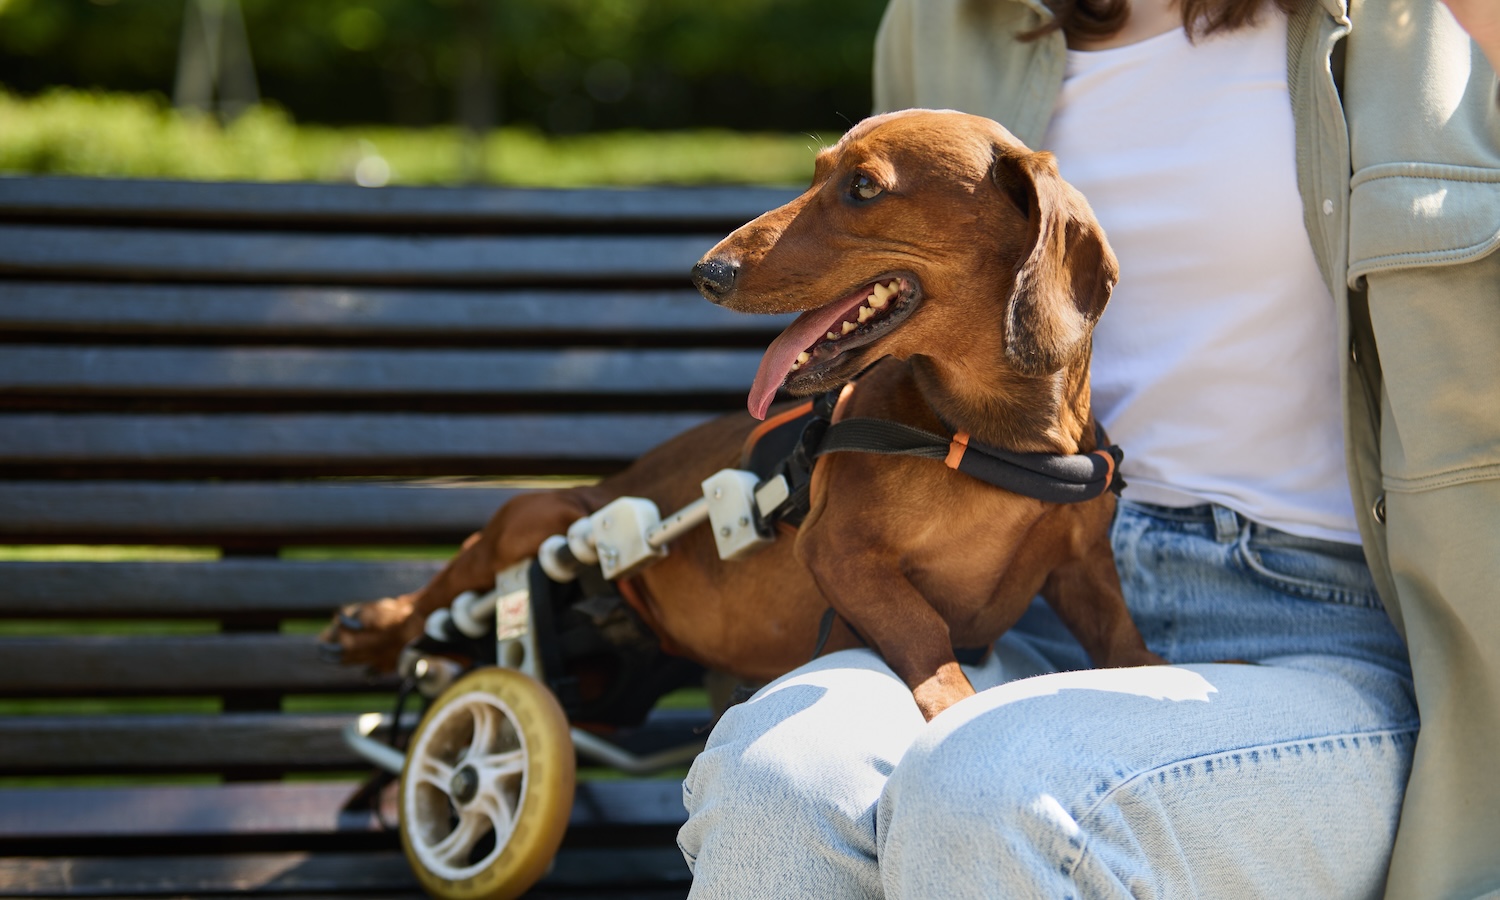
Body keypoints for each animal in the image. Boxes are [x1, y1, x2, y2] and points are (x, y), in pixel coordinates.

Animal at [322, 108, 1164, 720]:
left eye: (864, 187)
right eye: (817, 173)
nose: (706, 272)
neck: (985, 438)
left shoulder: (1085, 572)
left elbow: (1126, 644)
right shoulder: (838, 551)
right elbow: (926, 634)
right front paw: (955, 706)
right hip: (537, 519)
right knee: (440, 596)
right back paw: (373, 626)